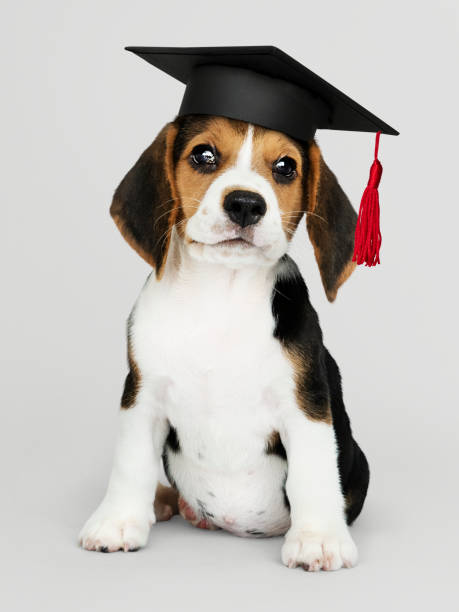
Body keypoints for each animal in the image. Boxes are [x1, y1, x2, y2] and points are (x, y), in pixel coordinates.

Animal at [80, 116, 370, 572]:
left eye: (286, 166)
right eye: (203, 155)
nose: (246, 204)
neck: (221, 292)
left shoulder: (305, 403)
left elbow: (312, 472)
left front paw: (318, 539)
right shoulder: (141, 395)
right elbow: (131, 463)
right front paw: (117, 521)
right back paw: (164, 502)